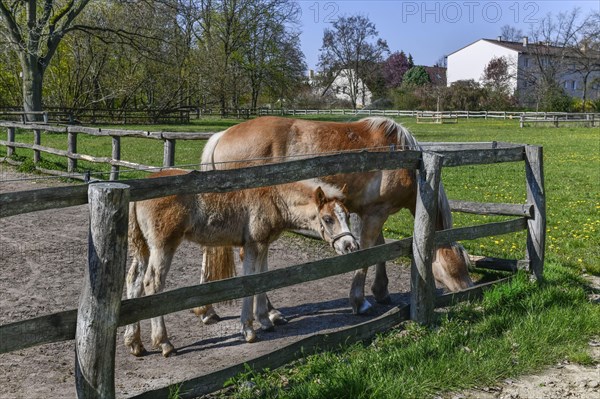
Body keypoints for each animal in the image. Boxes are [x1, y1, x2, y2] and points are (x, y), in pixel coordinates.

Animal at [122, 168, 356, 356]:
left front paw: (265, 320)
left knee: (134, 280)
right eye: (328, 219)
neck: (273, 197)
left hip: (143, 246)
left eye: (347, 215)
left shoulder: (263, 245)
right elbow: (250, 282)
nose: (350, 246)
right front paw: (249, 329)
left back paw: (134, 343)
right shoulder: (253, 245)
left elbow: (264, 279)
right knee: (152, 283)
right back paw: (164, 343)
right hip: (163, 246)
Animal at [197, 115, 474, 322]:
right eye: (458, 265)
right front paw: (360, 301)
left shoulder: (370, 213)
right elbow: (367, 253)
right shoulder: (375, 213)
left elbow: (380, 250)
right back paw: (269, 313)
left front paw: (381, 291)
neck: (407, 159)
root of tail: (222, 136)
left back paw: (209, 311)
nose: (470, 291)